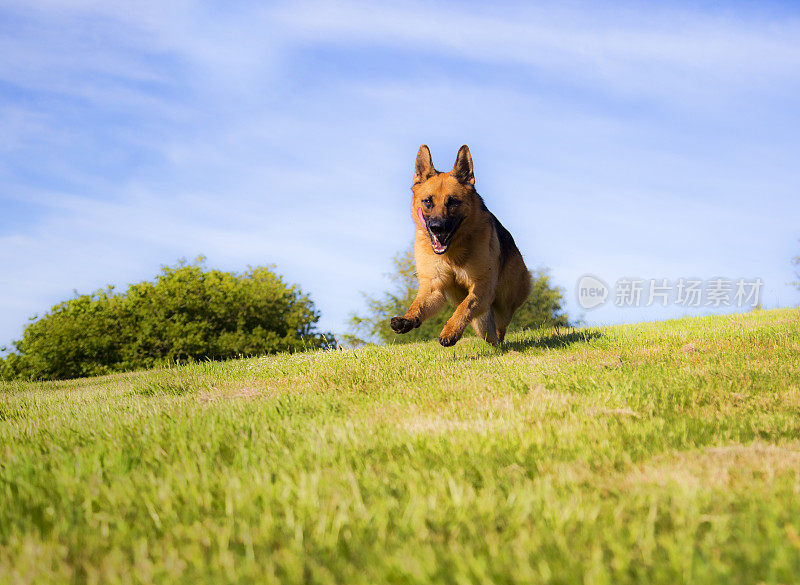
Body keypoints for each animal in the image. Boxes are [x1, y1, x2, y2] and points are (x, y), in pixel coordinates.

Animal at [390, 146, 532, 346]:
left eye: (452, 202)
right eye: (428, 201)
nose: (437, 227)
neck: (452, 251)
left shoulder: (482, 286)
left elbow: (466, 306)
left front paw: (451, 330)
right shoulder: (434, 286)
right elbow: (419, 305)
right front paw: (408, 318)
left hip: (504, 303)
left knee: (499, 327)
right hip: (481, 321)